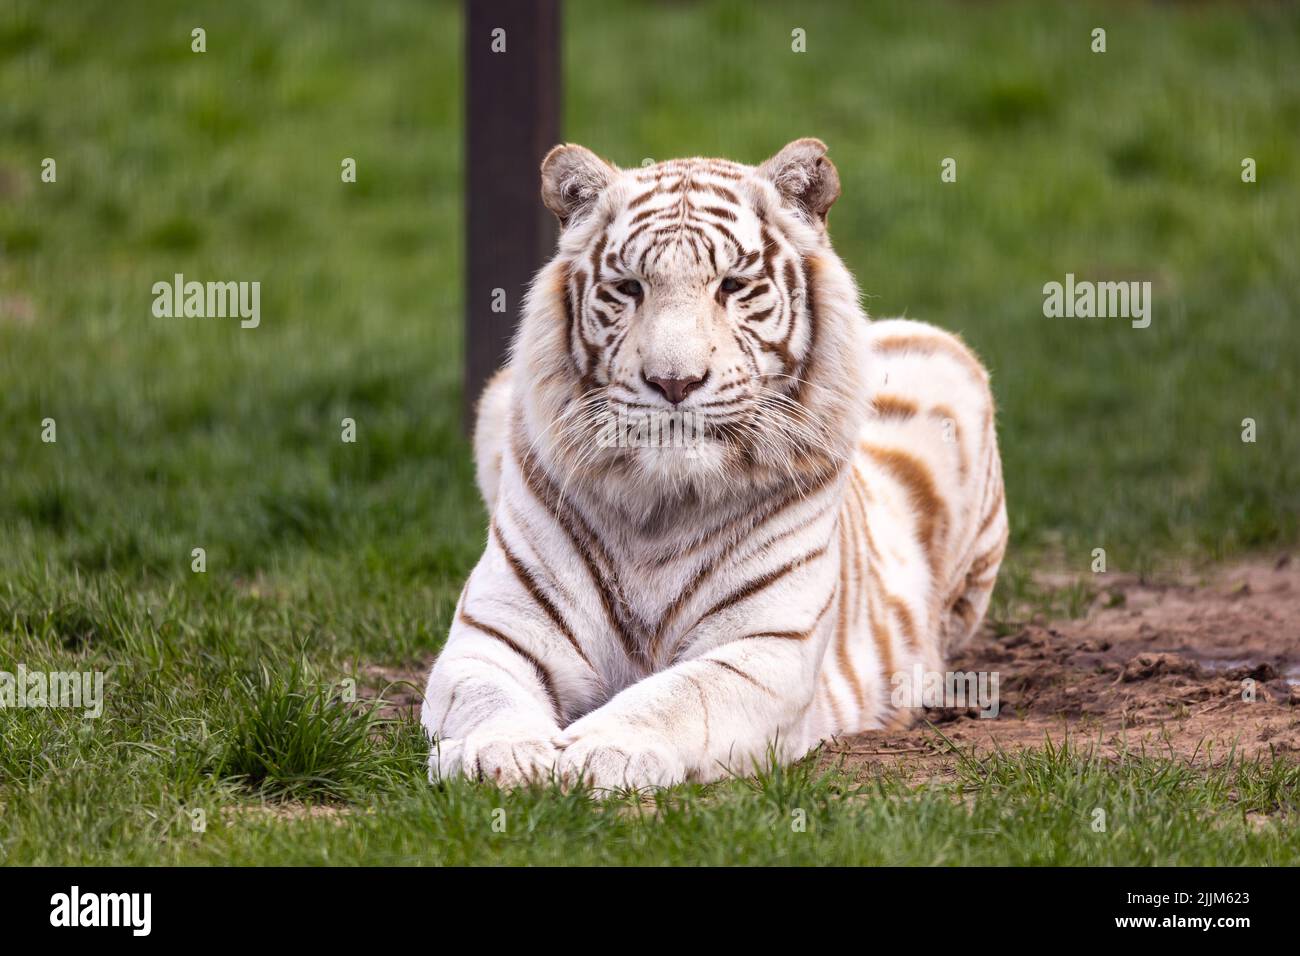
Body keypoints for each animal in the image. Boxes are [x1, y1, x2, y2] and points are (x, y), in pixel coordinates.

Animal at [421, 136, 1008, 790]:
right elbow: (487, 696)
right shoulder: (493, 638)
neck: (659, 506)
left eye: (732, 285)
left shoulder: (764, 647)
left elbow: (675, 697)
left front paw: (602, 750)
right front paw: (499, 755)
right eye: (629, 287)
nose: (674, 382)